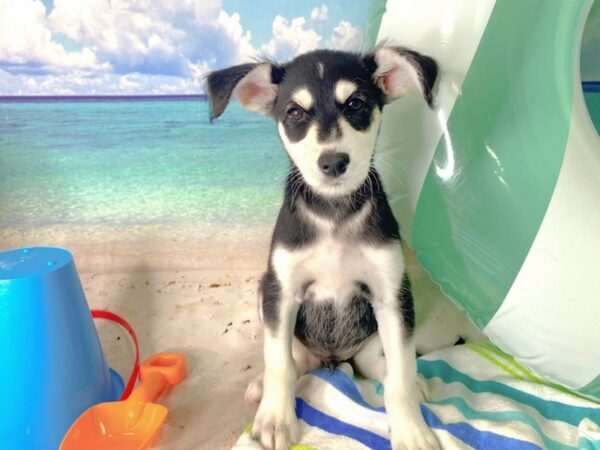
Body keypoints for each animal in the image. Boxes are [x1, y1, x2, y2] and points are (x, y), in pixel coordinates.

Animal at [209, 46, 438, 450]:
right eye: (294, 113)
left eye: (357, 104)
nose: (333, 162)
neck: (334, 217)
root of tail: (331, 360)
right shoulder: (282, 292)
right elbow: (280, 364)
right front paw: (275, 419)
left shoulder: (392, 295)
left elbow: (401, 374)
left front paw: (411, 430)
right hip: (266, 293)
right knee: (292, 359)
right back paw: (263, 386)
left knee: (378, 363)